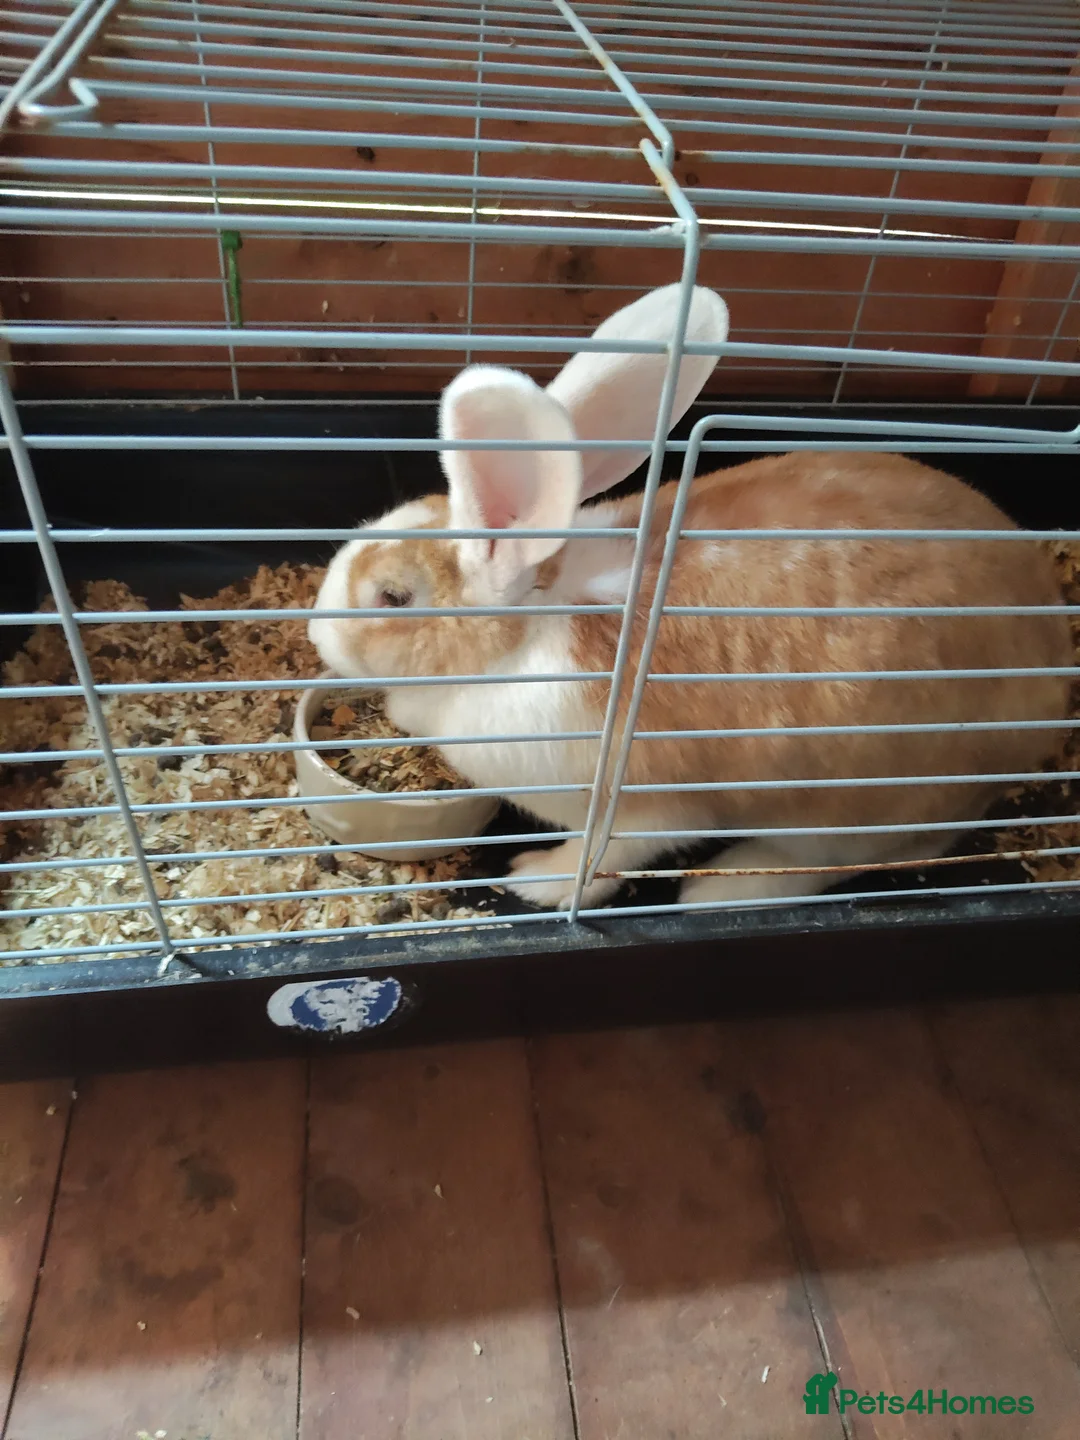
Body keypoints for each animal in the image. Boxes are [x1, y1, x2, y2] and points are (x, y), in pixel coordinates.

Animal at [309, 284, 1072, 913]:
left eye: (393, 596)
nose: (316, 631)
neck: (527, 630)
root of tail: (1051, 690)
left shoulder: (642, 807)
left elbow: (602, 858)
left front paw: (536, 880)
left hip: (850, 804)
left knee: (849, 857)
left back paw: (718, 889)